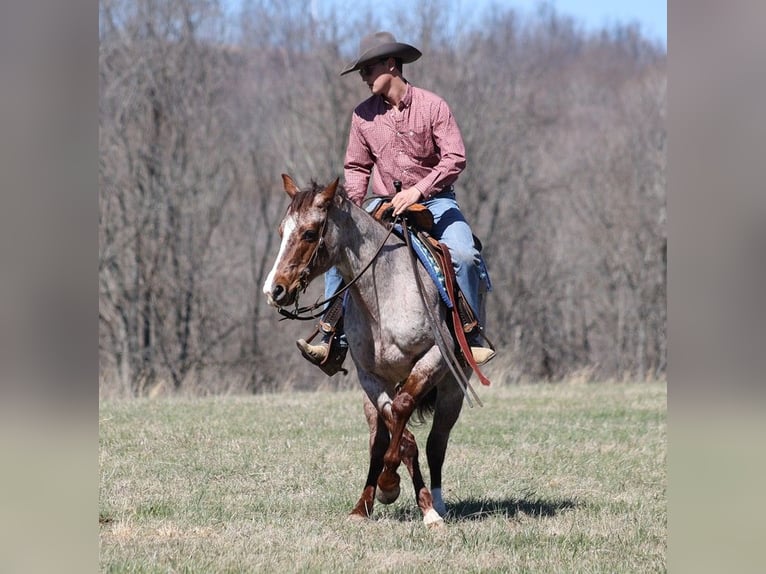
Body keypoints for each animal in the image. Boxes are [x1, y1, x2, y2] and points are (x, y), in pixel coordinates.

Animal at [260, 176, 484, 532]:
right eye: (283, 231)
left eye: (309, 232)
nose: (274, 290)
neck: (384, 294)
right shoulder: (369, 376)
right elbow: (396, 434)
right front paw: (387, 488)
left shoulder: (435, 357)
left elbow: (405, 414)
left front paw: (410, 498)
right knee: (379, 441)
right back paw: (363, 505)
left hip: (452, 391)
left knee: (436, 444)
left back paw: (436, 505)